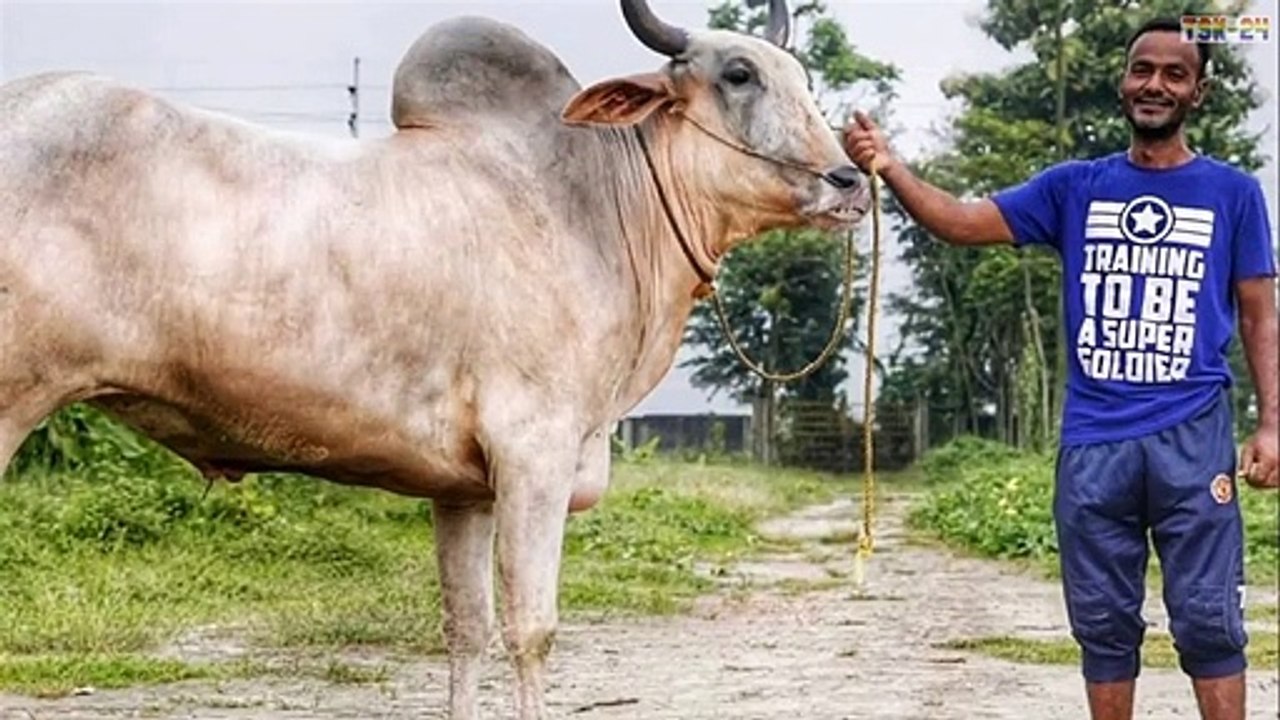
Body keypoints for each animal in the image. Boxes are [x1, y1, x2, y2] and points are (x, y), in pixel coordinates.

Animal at [0, 0, 870, 717]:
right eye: (738, 74)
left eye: (800, 76)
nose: (850, 179)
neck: (596, 206)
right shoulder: (534, 457)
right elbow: (531, 629)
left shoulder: (464, 490)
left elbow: (466, 629)